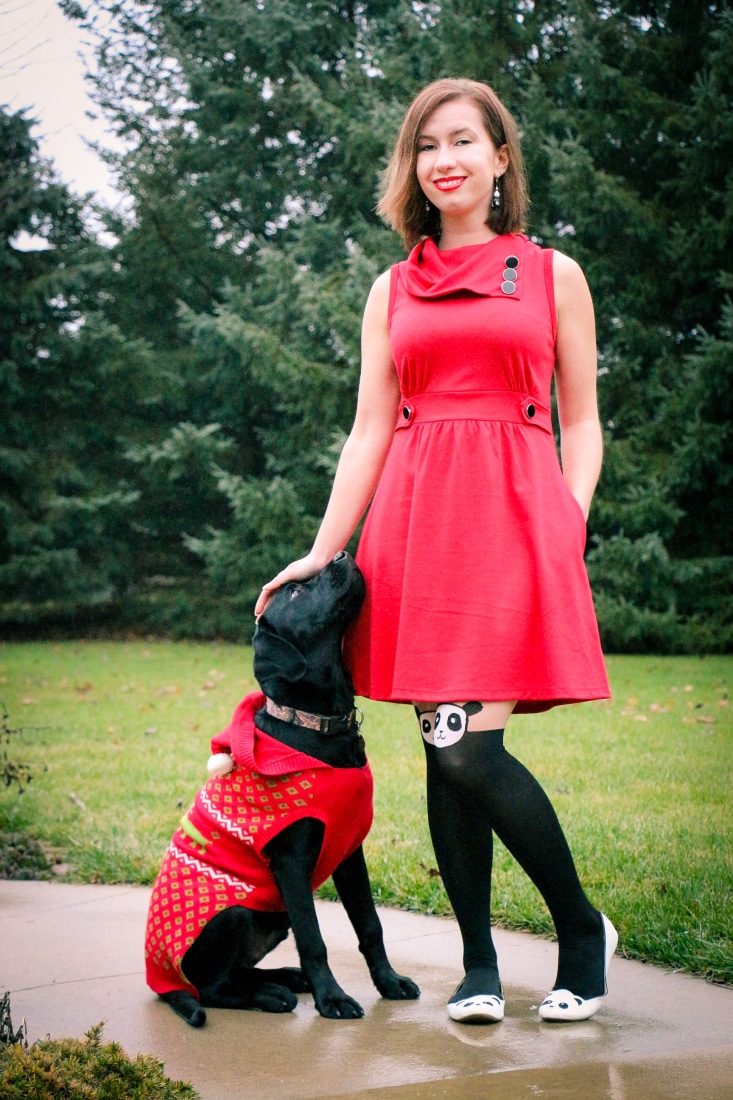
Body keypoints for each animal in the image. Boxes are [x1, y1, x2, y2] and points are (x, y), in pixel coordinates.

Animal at [144, 554, 416, 1025]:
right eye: (295, 591)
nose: (341, 554)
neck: (317, 725)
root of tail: (162, 982)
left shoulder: (349, 850)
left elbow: (370, 924)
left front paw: (389, 982)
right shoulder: (291, 863)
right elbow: (314, 938)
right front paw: (333, 1000)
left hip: (273, 917)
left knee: (234, 974)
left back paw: (285, 979)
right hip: (236, 914)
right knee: (211, 988)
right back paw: (271, 996)